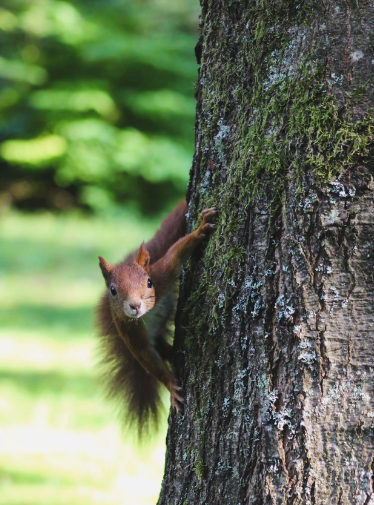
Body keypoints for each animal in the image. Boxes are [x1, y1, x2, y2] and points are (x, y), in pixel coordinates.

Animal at [95, 201, 216, 434]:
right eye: (113, 290)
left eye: (148, 282)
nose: (135, 305)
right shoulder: (128, 330)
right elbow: (147, 358)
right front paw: (171, 386)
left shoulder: (163, 275)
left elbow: (175, 253)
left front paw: (200, 229)